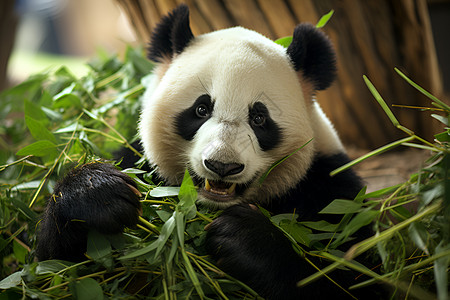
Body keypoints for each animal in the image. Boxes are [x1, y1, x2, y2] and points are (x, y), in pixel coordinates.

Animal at [35, 4, 384, 300]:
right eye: (201, 109)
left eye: (259, 118)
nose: (222, 166)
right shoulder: (139, 163)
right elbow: (56, 271)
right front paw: (99, 194)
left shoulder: (330, 192)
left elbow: (357, 277)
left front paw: (244, 238)